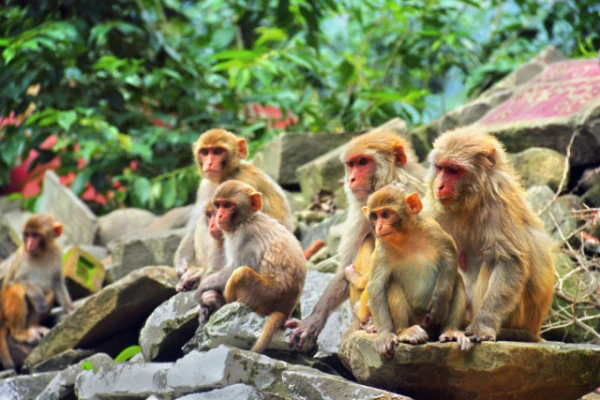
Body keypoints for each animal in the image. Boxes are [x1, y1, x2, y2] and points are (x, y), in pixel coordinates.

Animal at [0, 214, 74, 370]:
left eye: (35, 235)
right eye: (27, 235)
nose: (29, 244)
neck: (42, 253)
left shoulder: (57, 253)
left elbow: (57, 284)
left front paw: (71, 310)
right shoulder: (21, 256)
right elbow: (12, 282)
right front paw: (38, 297)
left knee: (49, 290)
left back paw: (34, 326)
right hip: (5, 313)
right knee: (16, 290)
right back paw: (20, 332)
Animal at [197, 181, 308, 354]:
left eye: (227, 205)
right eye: (217, 205)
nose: (218, 216)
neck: (247, 220)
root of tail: (286, 310)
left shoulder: (245, 235)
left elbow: (236, 267)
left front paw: (200, 291)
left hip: (266, 296)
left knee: (240, 273)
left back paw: (220, 302)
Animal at [288, 129, 426, 350]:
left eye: (363, 162)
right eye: (351, 164)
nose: (351, 179)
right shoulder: (363, 210)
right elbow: (345, 266)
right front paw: (312, 321)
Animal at [360, 183, 468, 358]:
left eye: (386, 214)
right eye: (374, 216)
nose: (379, 227)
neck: (406, 237)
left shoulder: (432, 228)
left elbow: (450, 256)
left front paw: (439, 302)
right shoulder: (382, 248)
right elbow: (377, 287)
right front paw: (384, 335)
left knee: (456, 280)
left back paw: (450, 331)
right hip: (414, 318)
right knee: (392, 284)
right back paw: (405, 332)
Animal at [428, 127, 556, 340]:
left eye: (453, 170)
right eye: (439, 168)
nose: (439, 186)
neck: (469, 201)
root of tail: (535, 329)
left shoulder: (499, 203)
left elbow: (508, 261)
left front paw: (483, 324)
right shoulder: (437, 207)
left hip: (518, 315)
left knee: (490, 260)